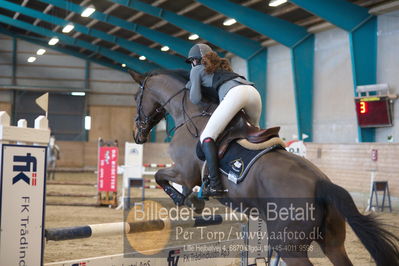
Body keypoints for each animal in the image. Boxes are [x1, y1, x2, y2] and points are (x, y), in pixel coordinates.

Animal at [130, 69, 398, 266]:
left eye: (136, 98)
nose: (137, 135)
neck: (191, 115)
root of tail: (322, 183)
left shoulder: (185, 173)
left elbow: (160, 176)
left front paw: (186, 200)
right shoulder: (186, 176)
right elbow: (166, 180)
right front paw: (191, 201)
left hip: (289, 247)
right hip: (332, 243)